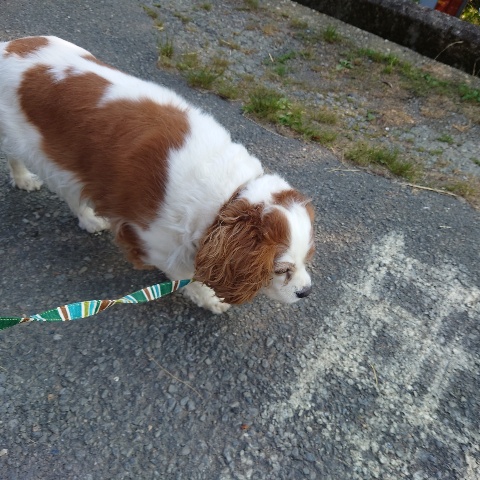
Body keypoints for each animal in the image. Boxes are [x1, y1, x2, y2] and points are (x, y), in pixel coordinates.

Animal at [0, 36, 315, 313]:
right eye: (281, 269)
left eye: (307, 257)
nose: (306, 291)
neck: (228, 196)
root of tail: (8, 45)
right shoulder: (153, 242)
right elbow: (185, 276)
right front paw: (209, 298)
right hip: (27, 142)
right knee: (17, 157)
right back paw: (26, 180)